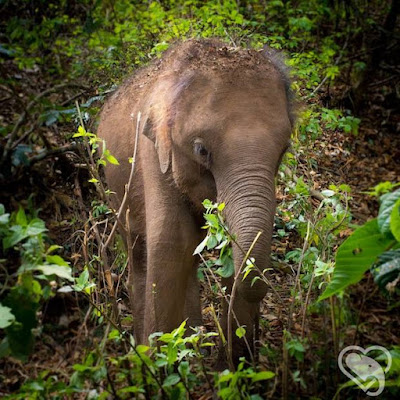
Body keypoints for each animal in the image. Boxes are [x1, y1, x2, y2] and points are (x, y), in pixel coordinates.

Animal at [97, 39, 294, 364]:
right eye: (201, 150)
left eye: (284, 149)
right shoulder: (153, 151)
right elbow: (171, 242)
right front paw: (161, 365)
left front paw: (236, 367)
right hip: (113, 186)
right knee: (140, 247)